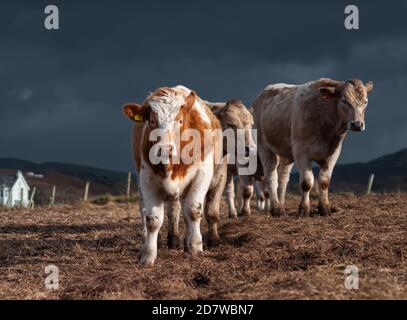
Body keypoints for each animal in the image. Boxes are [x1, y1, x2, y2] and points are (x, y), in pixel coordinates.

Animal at [122, 85, 228, 264]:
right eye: (152, 121)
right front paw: (148, 254)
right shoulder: (147, 179)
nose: (165, 149)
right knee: (168, 211)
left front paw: (195, 247)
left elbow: (193, 211)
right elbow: (153, 219)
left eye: (180, 121)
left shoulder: (202, 174)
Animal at [253, 78, 374, 216]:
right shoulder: (301, 151)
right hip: (264, 146)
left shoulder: (334, 153)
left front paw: (324, 208)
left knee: (283, 178)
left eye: (365, 102)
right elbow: (306, 182)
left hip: (285, 153)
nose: (357, 124)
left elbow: (324, 181)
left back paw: (282, 205)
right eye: (344, 101)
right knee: (271, 176)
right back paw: (276, 208)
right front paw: (304, 209)